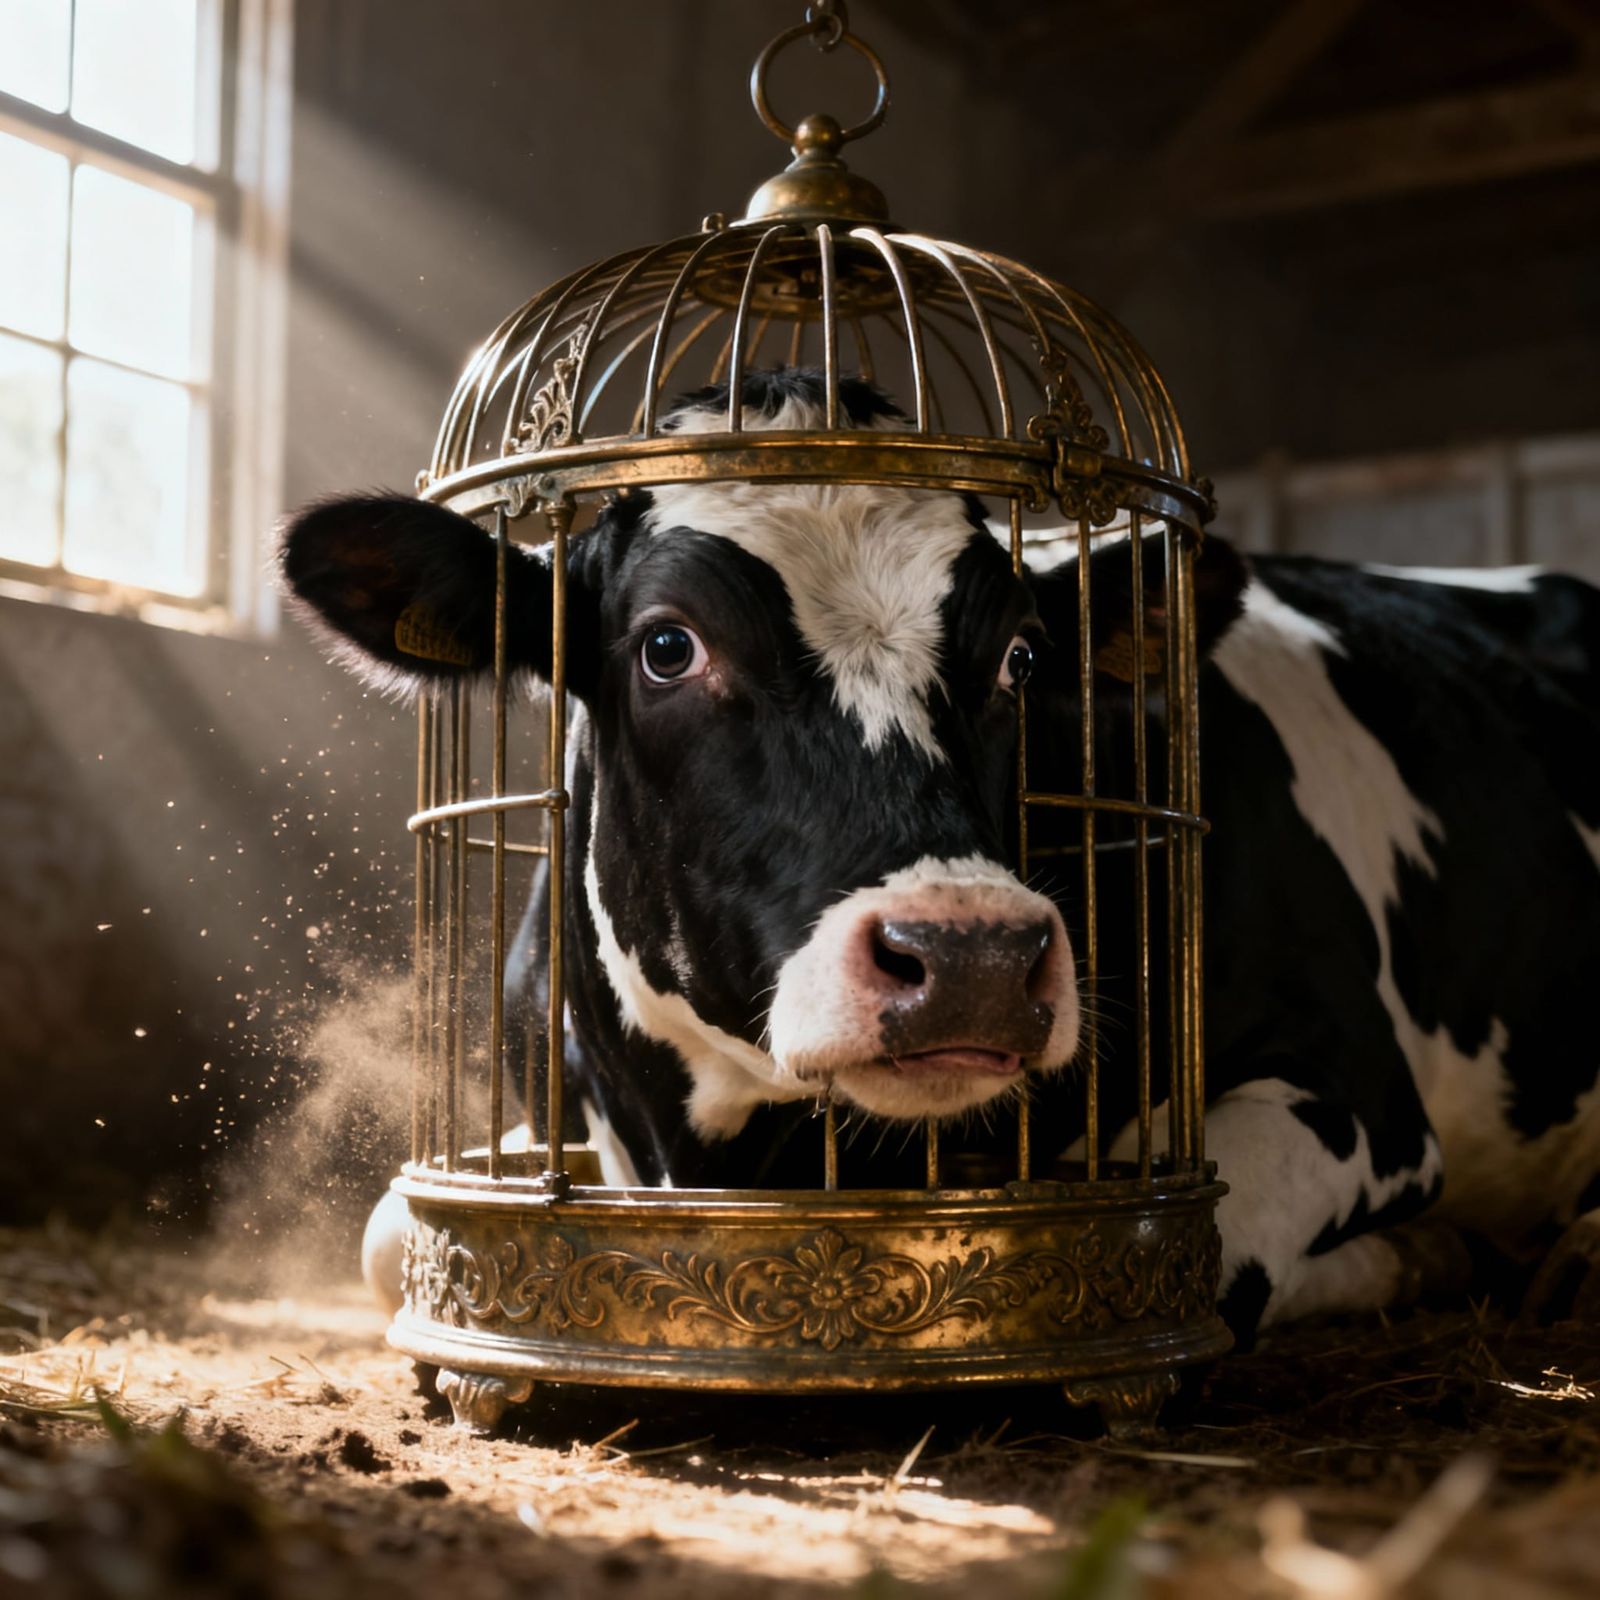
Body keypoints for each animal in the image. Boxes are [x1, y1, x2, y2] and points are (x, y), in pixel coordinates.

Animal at [283, 367, 1600, 1342]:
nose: (971, 958)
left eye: (1021, 654)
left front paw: (1422, 1256)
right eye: (666, 645)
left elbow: (1210, 1259)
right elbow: (390, 1238)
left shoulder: (1357, 1082)